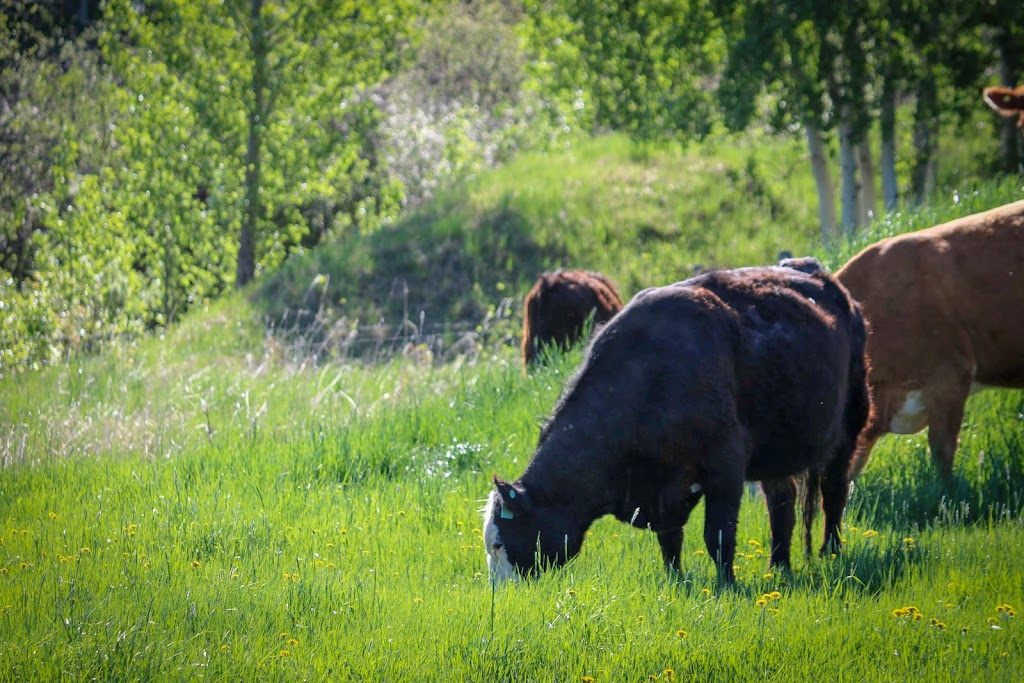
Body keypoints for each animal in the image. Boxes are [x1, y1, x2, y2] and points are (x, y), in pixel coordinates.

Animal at [483, 264, 868, 585]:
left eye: (500, 544)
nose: (501, 594)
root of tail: (824, 278)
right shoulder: (665, 489)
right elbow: (670, 539)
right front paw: (674, 580)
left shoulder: (725, 464)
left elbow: (718, 535)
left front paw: (726, 585)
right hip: (776, 453)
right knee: (782, 502)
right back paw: (779, 566)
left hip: (850, 425)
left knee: (834, 491)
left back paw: (831, 553)